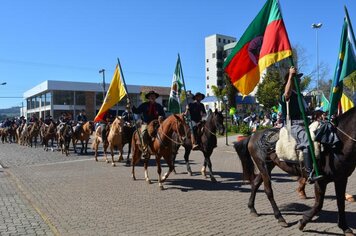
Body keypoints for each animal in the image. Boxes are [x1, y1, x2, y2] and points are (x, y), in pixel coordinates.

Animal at [235, 107, 356, 236]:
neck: (334, 145)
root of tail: (253, 135)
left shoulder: (341, 179)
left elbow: (341, 203)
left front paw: (345, 228)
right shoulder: (320, 181)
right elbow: (318, 205)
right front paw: (303, 222)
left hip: (268, 166)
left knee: (255, 184)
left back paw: (252, 208)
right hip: (263, 166)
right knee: (268, 191)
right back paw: (280, 218)